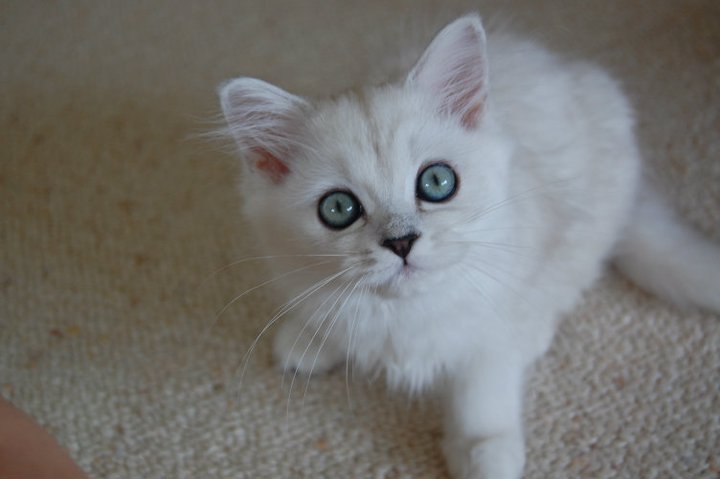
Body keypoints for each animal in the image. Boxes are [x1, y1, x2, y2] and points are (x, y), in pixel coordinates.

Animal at [218, 15, 720, 479]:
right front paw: (316, 337)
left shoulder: (496, 316)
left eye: (437, 182)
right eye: (339, 208)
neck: (405, 314)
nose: (401, 241)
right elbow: (339, 318)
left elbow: (481, 386)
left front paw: (484, 452)